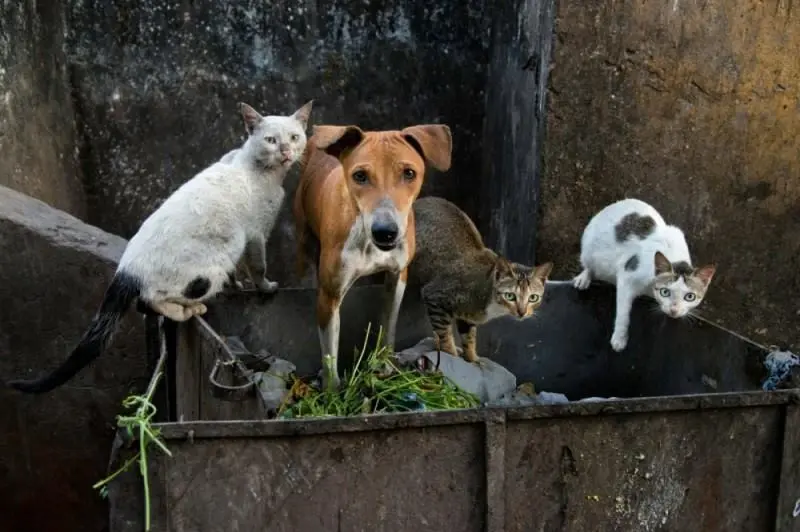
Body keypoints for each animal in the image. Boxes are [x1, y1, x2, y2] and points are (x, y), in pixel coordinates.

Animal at [8, 100, 313, 394]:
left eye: (294, 137)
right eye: (272, 140)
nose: (287, 150)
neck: (255, 168)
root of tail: (126, 270)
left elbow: (239, 272)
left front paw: (237, 285)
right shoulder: (254, 235)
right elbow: (258, 267)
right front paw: (266, 287)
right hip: (213, 265)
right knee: (150, 301)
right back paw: (190, 309)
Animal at [409, 196, 553, 363]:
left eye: (533, 298)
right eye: (510, 296)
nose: (522, 312)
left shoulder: (468, 317)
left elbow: (469, 337)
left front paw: (472, 359)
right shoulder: (436, 295)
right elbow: (443, 333)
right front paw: (450, 353)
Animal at [573, 198, 716, 352]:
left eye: (690, 297)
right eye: (665, 292)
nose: (674, 310)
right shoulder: (627, 275)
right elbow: (623, 313)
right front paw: (619, 339)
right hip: (588, 249)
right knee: (589, 264)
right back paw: (583, 278)